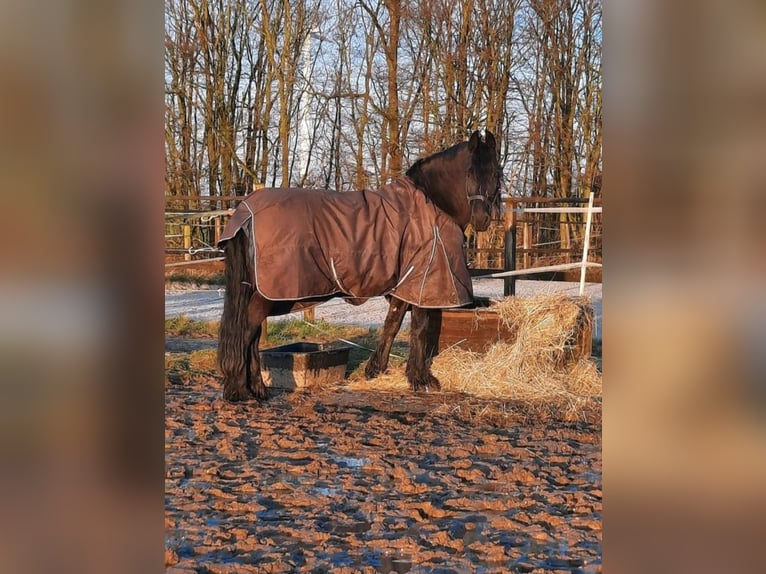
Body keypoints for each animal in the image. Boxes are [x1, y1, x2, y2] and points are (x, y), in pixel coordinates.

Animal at [217, 130, 501, 402]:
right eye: (469, 171)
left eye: (495, 172)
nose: (482, 218)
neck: (431, 203)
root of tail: (246, 212)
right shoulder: (423, 280)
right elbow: (419, 329)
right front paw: (420, 380)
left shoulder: (405, 283)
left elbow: (393, 323)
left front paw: (377, 369)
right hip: (270, 293)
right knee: (247, 331)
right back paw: (240, 390)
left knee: (252, 334)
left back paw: (257, 388)